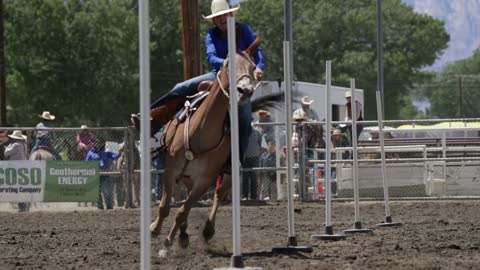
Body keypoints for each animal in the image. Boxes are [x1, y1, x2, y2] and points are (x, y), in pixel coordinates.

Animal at [150, 37, 262, 251]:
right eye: (228, 63)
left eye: (253, 67)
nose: (245, 91)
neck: (200, 131)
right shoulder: (171, 170)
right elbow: (165, 207)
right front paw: (155, 229)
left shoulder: (204, 180)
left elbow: (182, 211)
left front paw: (168, 241)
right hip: (186, 175)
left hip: (225, 176)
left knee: (218, 194)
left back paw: (206, 230)